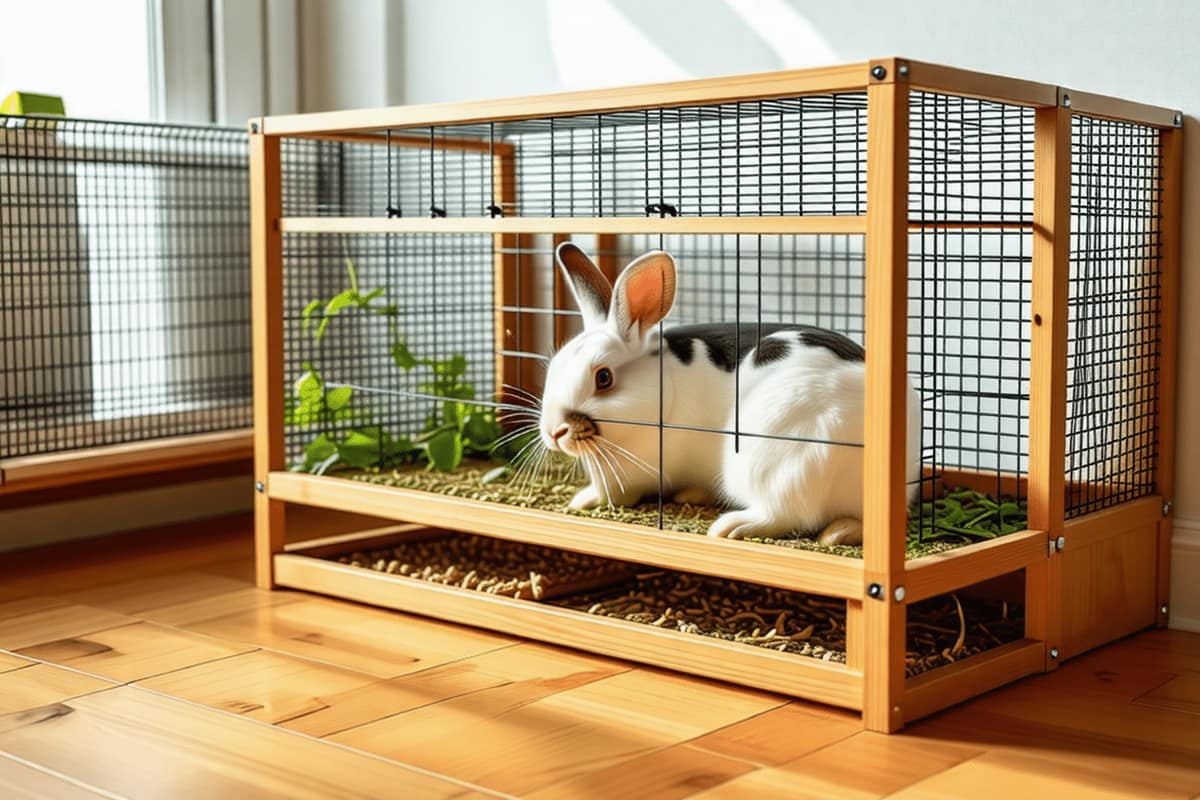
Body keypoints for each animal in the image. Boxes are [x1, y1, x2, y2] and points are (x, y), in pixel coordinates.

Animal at [538, 242, 922, 544]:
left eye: (603, 378)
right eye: (553, 366)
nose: (554, 432)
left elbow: (618, 493)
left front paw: (583, 500)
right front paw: (583, 499)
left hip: (778, 457)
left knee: (788, 513)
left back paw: (739, 526)